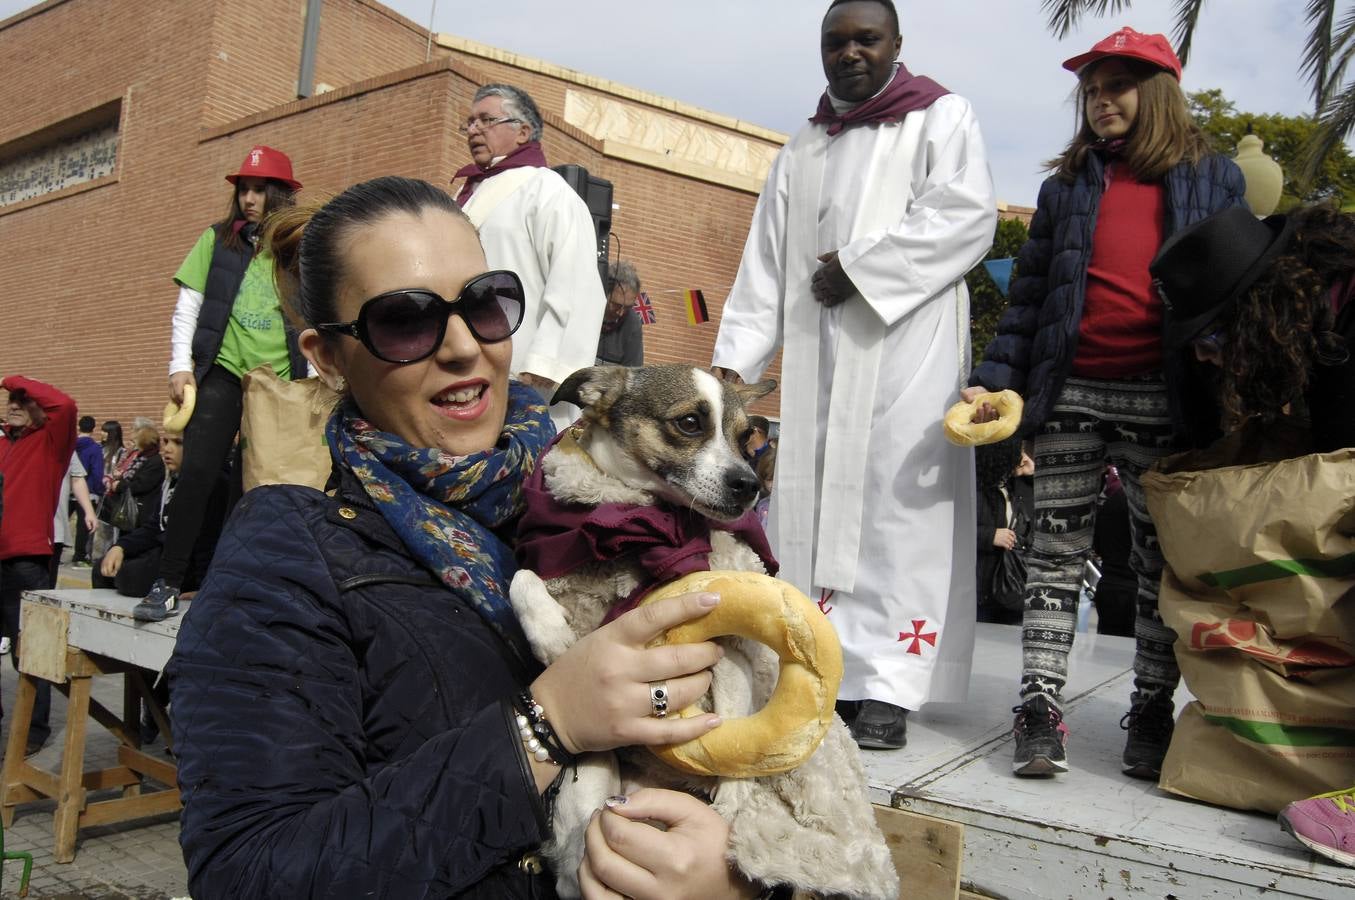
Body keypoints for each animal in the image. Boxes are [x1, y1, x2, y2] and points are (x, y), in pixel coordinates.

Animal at [509, 363, 899, 900]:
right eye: (690, 423)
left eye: (745, 436)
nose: (749, 485)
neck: (639, 526)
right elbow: (521, 577)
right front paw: (549, 634)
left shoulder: (729, 653)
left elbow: (730, 736)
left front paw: (732, 803)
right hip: (589, 781)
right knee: (574, 856)